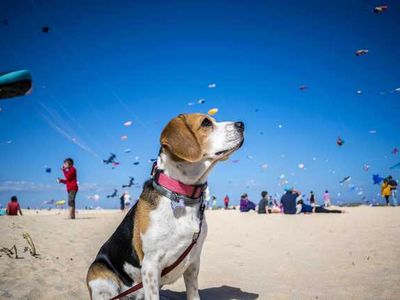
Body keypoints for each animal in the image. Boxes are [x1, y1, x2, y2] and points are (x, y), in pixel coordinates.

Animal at [87, 113, 244, 298]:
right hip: (101, 280)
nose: (241, 125)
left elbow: (193, 294)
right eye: (206, 123)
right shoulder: (150, 266)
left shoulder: (193, 263)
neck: (182, 196)